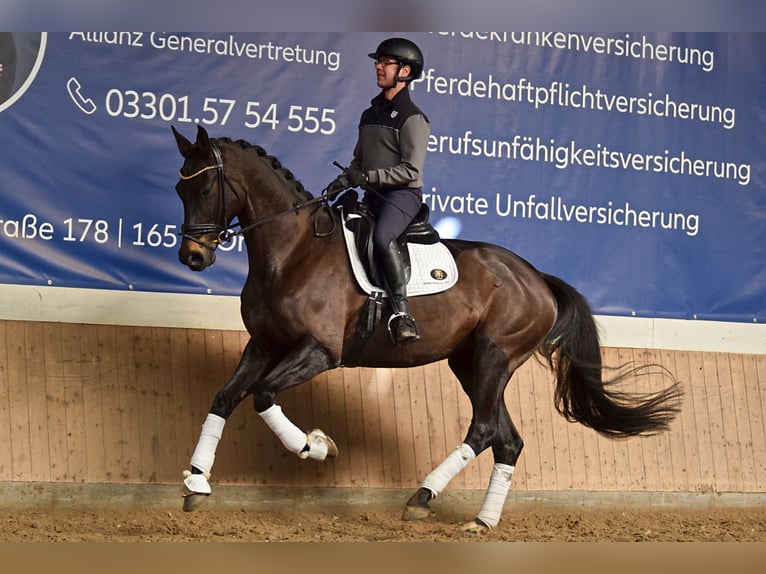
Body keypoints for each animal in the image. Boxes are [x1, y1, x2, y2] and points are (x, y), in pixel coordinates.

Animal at [171, 125, 682, 534]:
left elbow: (263, 396)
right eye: (179, 188)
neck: (294, 251)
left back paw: (421, 497)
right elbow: (224, 399)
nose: (193, 257)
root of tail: (537, 278)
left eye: (205, 188)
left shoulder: (318, 351)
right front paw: (196, 481)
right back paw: (482, 521)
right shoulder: (262, 345)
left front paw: (317, 447)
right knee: (508, 439)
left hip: (494, 358)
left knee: (483, 429)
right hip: (470, 365)